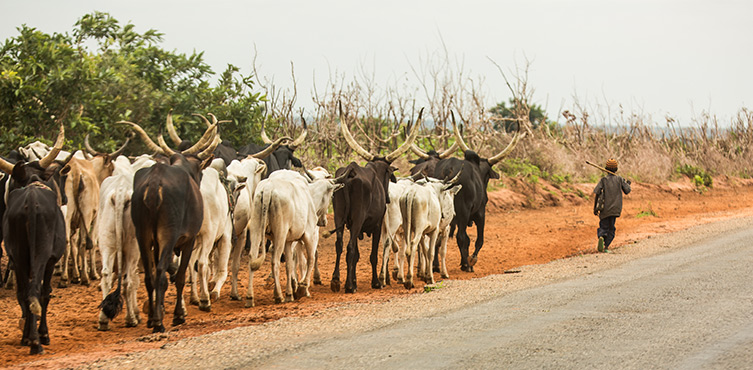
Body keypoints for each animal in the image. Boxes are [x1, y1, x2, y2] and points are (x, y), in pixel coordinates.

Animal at [97, 155, 155, 330]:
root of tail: (120, 191)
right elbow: (135, 281)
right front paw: (136, 313)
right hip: (133, 246)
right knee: (128, 280)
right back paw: (131, 319)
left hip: (107, 242)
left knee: (106, 275)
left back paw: (103, 320)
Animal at [247, 169, 340, 304]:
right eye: (332, 195)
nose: (323, 222)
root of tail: (268, 188)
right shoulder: (309, 235)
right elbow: (310, 259)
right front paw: (302, 288)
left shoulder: (289, 241)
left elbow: (290, 263)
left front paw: (291, 290)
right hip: (280, 233)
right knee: (275, 261)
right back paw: (278, 295)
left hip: (256, 228)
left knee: (253, 258)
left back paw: (250, 298)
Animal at [428, 112, 524, 272]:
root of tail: (449, 169)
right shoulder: (480, 213)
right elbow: (478, 239)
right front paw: (470, 260)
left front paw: (463, 261)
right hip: (463, 212)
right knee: (461, 236)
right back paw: (467, 266)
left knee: (437, 236)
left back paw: (435, 266)